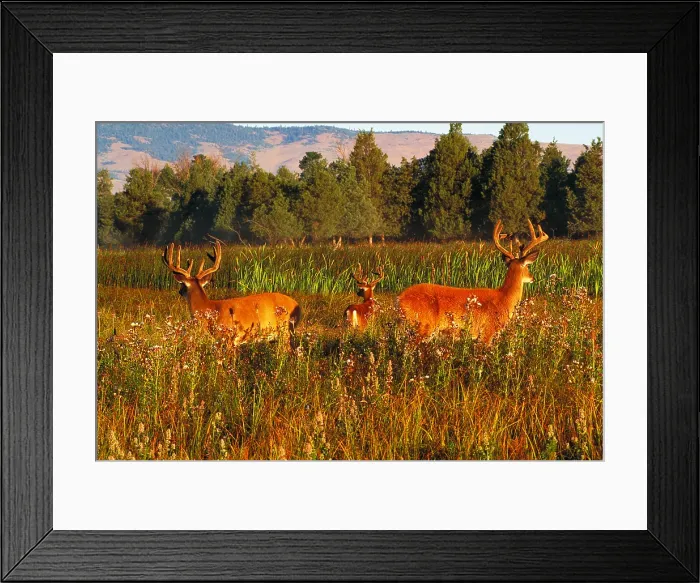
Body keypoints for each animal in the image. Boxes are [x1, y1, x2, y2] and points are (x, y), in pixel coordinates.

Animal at [162, 237, 301, 346]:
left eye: (182, 285)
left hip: (285, 331)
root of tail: (298, 306)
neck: (209, 309)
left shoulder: (227, 337)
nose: (180, 291)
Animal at [397, 219, 549, 343]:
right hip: (423, 326)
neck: (505, 298)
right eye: (528, 266)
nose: (532, 278)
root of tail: (399, 299)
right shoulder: (487, 331)